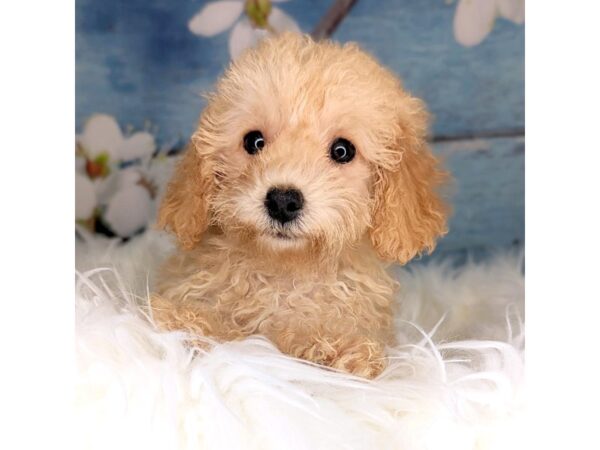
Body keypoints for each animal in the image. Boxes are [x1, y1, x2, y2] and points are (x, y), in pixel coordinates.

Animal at [152, 33, 448, 380]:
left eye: (342, 150)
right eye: (254, 142)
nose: (282, 200)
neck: (286, 269)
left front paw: (338, 350)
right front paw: (188, 323)